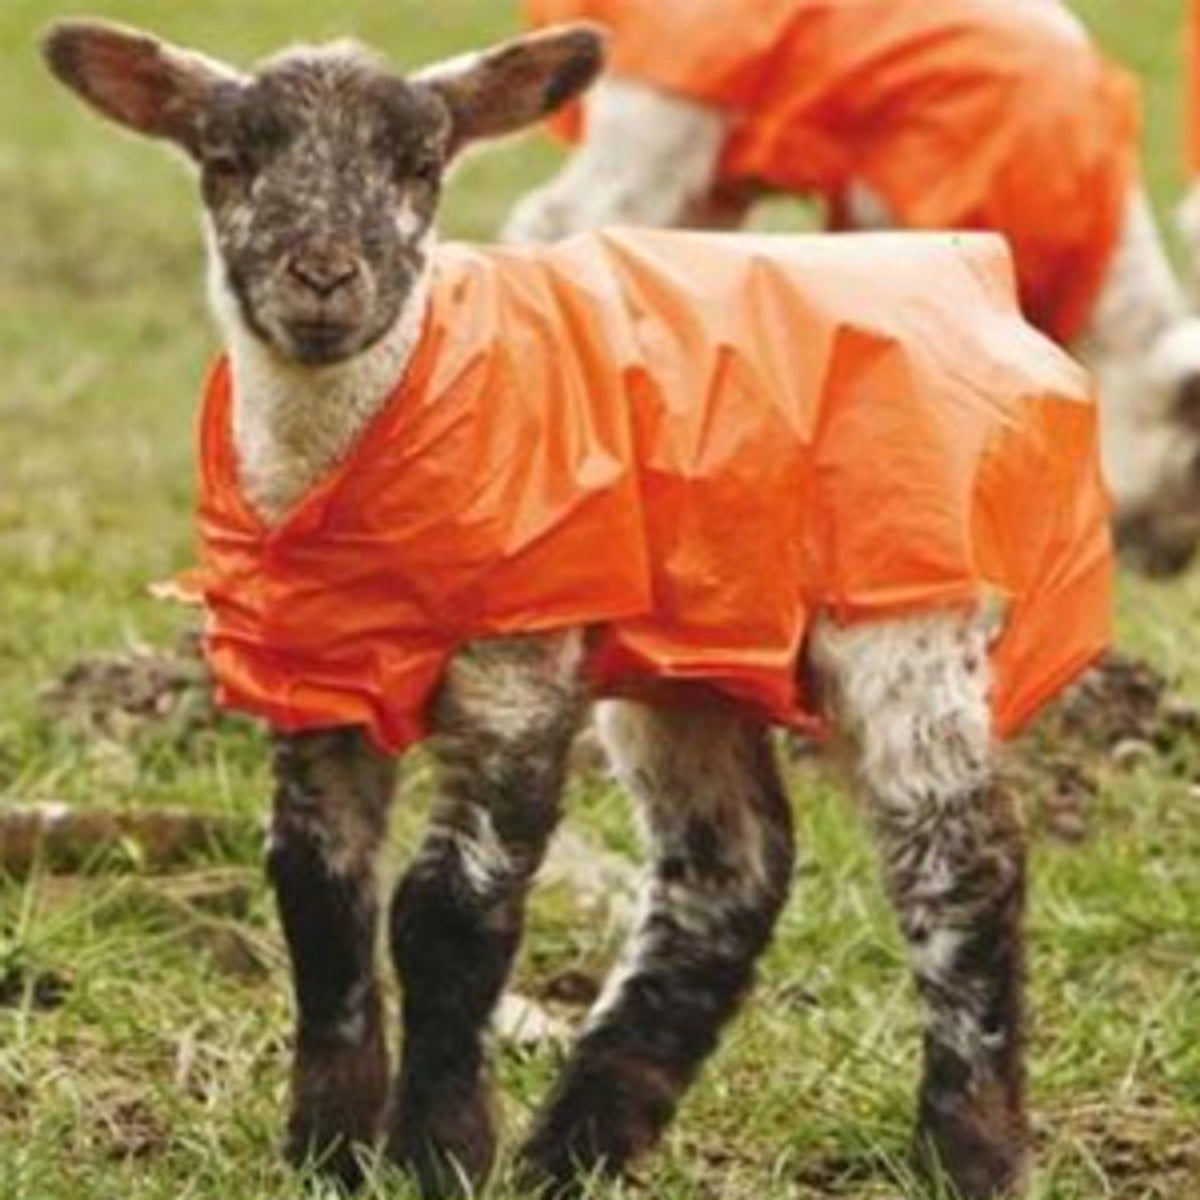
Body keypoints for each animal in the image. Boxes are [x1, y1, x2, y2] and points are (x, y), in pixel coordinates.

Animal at [42, 18, 1113, 1200]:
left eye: (421, 164)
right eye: (227, 160)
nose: (323, 275)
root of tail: (975, 283)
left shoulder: (516, 667)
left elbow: (447, 909)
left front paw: (438, 1150)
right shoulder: (308, 676)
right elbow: (316, 893)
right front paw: (326, 1150)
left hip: (906, 607)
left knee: (961, 859)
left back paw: (968, 1149)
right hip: (693, 653)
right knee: (730, 870)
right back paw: (578, 1144)